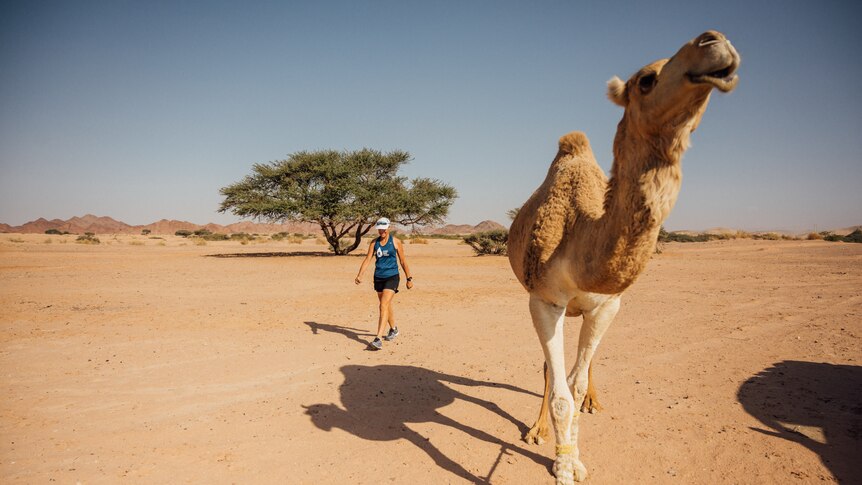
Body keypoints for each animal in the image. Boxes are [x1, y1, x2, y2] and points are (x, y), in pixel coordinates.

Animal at [510, 32, 740, 482]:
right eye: (646, 80)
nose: (714, 42)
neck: (580, 240)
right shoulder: (543, 300)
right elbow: (559, 390)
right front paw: (561, 463)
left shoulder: (608, 306)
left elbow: (577, 382)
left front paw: (576, 455)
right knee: (550, 368)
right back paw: (537, 428)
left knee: (585, 366)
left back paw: (593, 403)